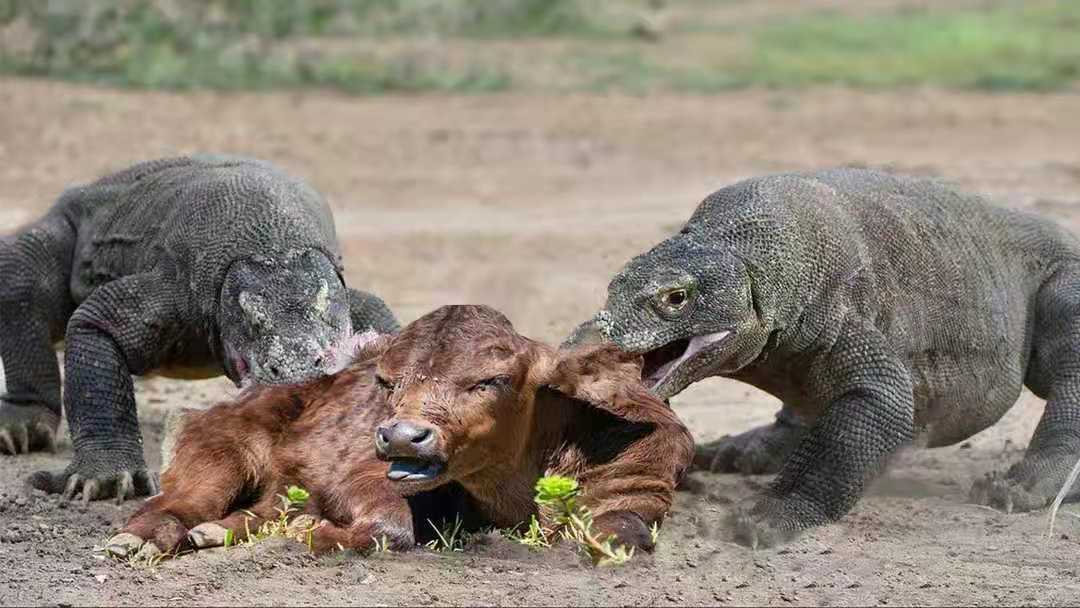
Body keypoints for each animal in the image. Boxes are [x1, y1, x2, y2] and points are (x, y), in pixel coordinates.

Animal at [1, 154, 397, 501]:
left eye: (324, 307)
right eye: (250, 319)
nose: (296, 376)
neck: (272, 245)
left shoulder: (356, 306)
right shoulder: (174, 288)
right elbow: (94, 333)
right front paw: (105, 476)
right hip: (64, 227)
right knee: (21, 279)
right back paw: (22, 423)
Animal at [103, 306, 691, 557]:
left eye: (491, 380)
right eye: (386, 380)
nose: (403, 436)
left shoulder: (640, 492)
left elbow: (622, 534)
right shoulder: (363, 476)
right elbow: (389, 524)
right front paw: (322, 534)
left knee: (262, 507)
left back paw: (218, 532)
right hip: (221, 449)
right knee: (180, 502)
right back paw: (139, 539)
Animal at [565, 168, 1080, 548]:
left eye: (676, 297)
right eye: (613, 285)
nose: (580, 346)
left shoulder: (843, 318)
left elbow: (867, 411)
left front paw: (774, 514)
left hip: (1062, 277)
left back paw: (1026, 485)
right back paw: (746, 449)